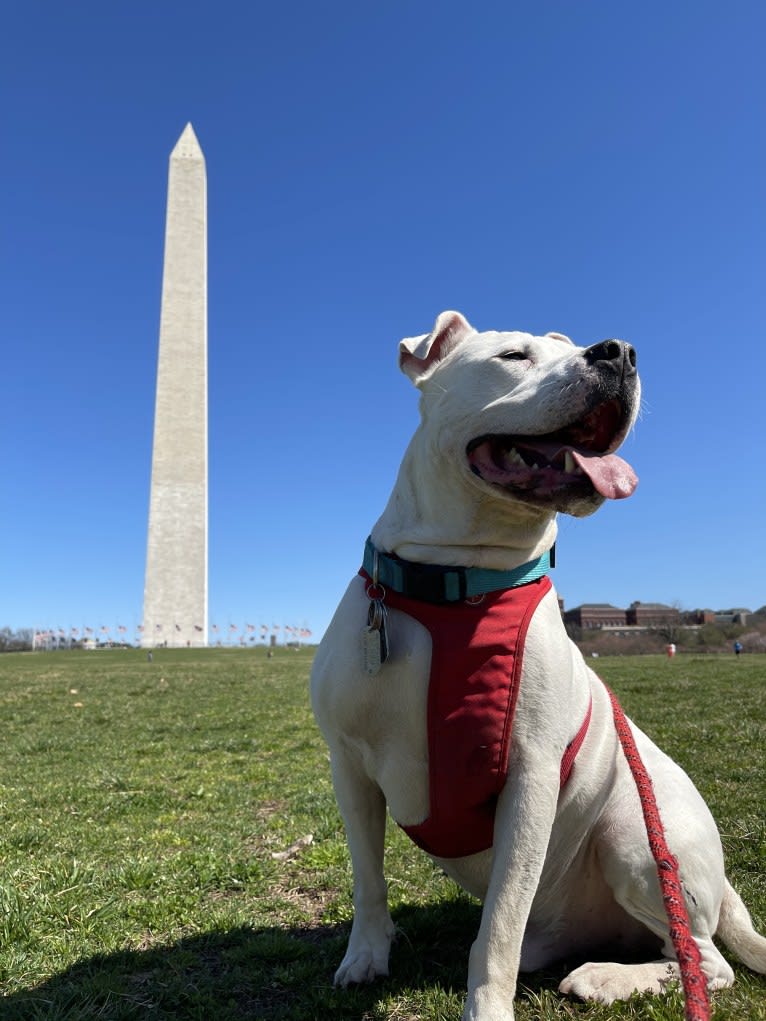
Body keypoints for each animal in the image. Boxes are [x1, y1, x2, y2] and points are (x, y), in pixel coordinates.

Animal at [312, 312, 766, 1021]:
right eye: (512, 356)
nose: (620, 352)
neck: (463, 582)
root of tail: (726, 889)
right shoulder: (350, 767)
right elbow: (368, 878)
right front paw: (366, 956)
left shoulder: (530, 781)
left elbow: (499, 924)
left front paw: (487, 1009)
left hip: (634, 833)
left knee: (704, 963)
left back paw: (605, 978)